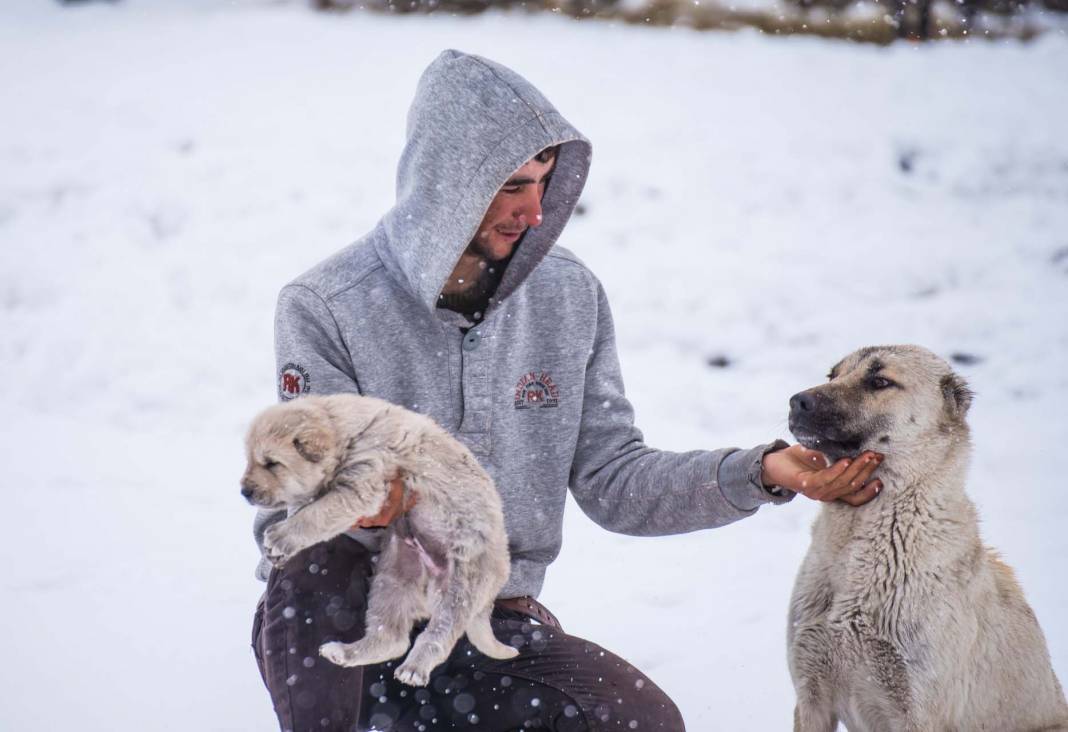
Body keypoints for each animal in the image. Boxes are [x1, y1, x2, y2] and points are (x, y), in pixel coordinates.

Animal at [243, 393, 525, 683]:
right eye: (251, 460)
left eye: (271, 463)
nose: (245, 491)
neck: (344, 432)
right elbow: (309, 509)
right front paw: (278, 549)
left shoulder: (361, 486)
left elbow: (316, 514)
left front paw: (282, 536)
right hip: (395, 577)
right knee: (392, 639)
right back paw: (342, 652)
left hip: (461, 588)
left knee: (438, 635)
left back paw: (414, 668)